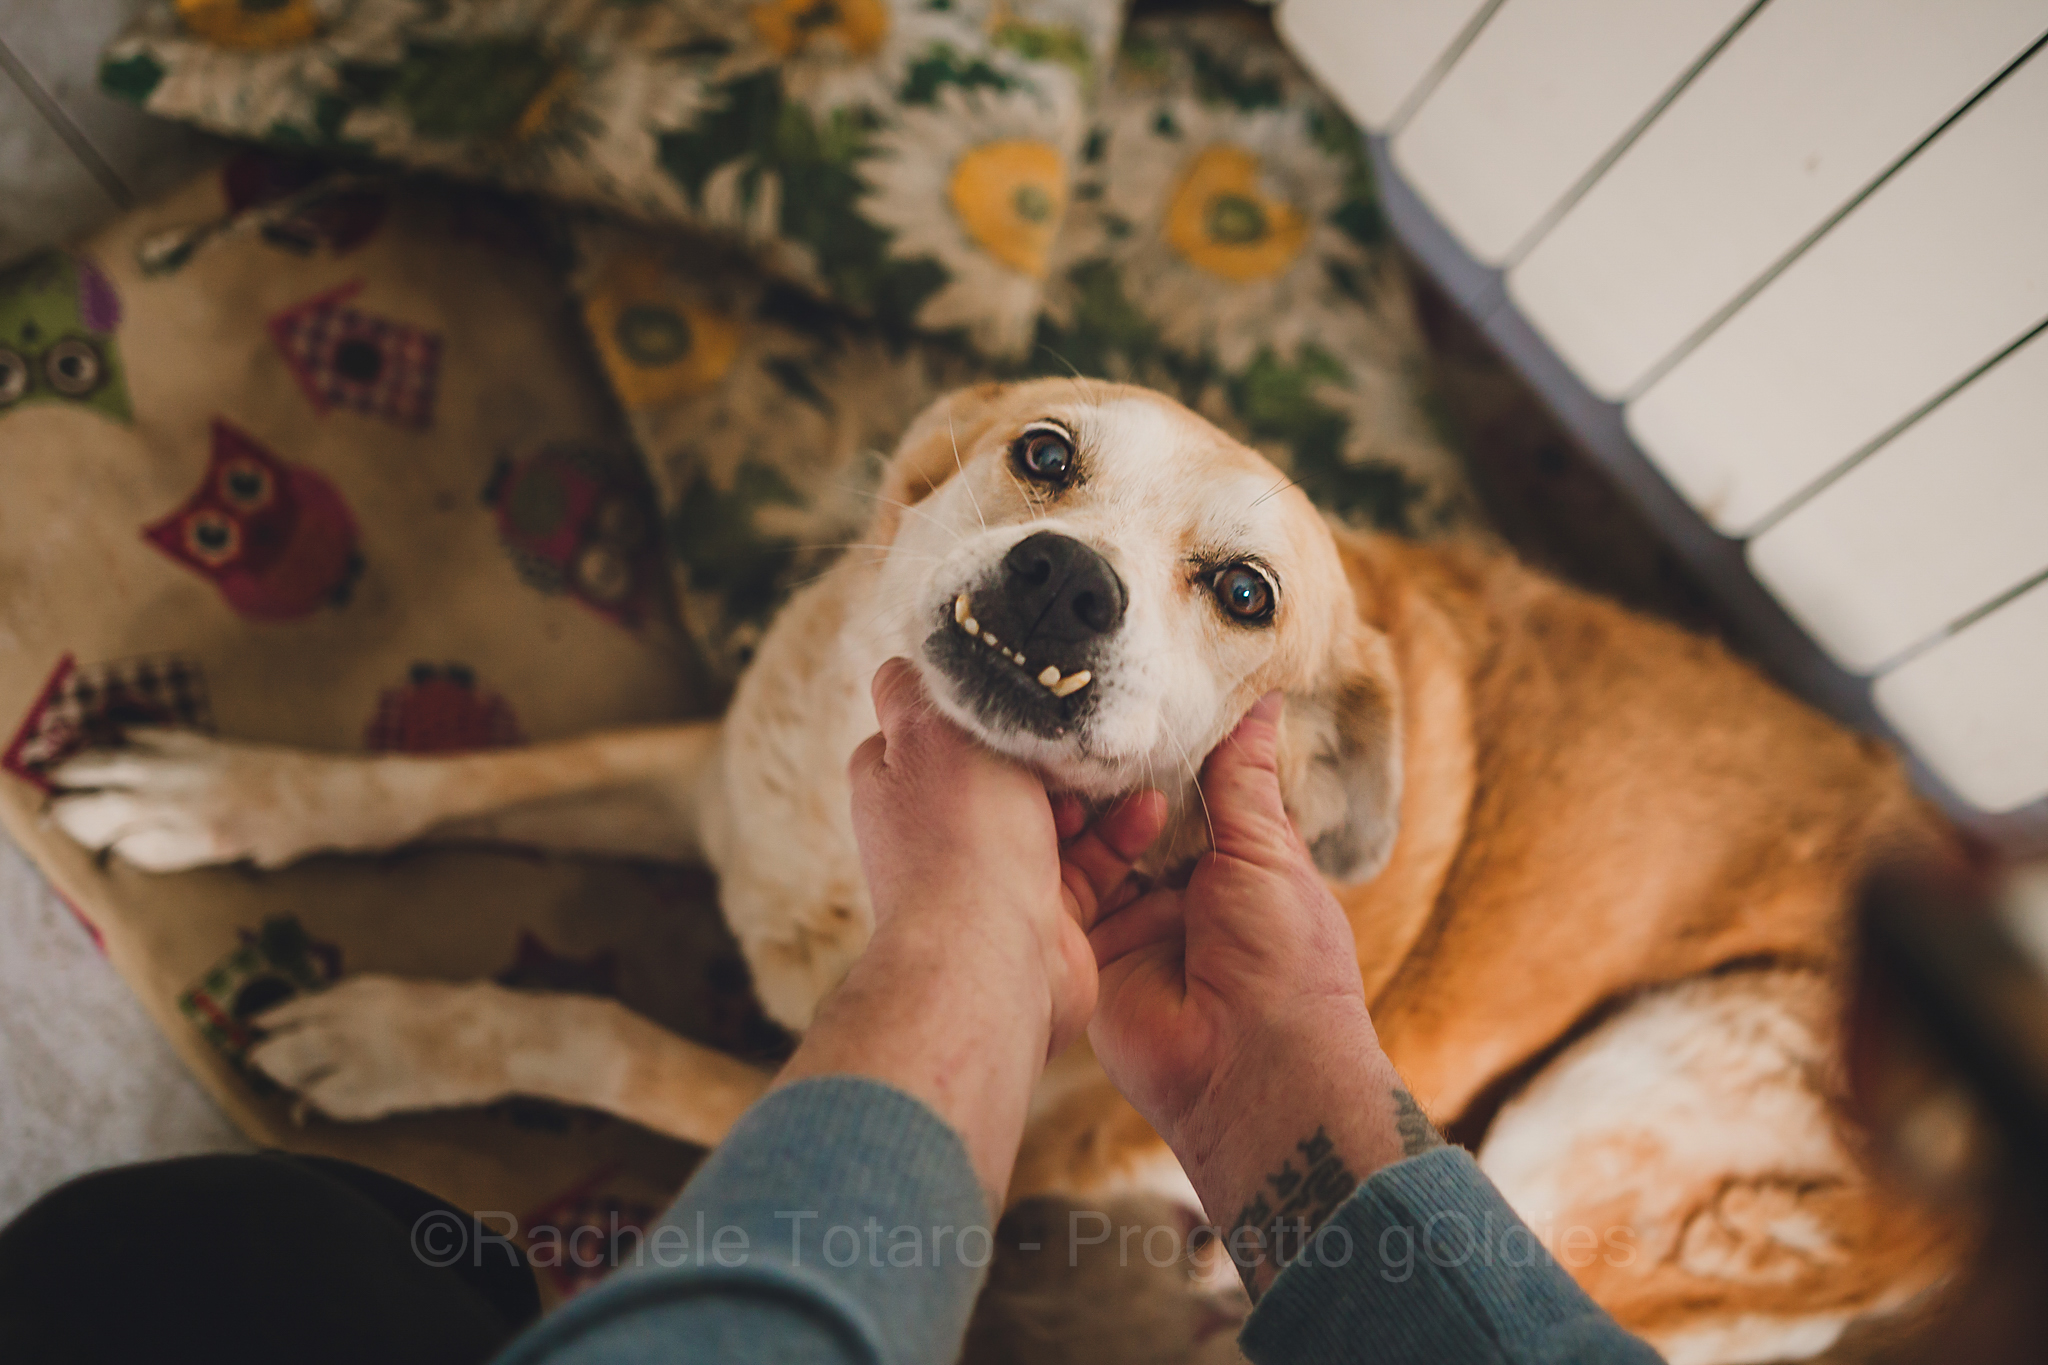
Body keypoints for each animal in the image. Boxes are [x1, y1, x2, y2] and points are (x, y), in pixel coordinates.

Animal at [49, 379, 1957, 1362]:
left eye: (1244, 594)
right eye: (1045, 457)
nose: (1059, 581)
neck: (851, 861)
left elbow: (593, 1030)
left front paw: (380, 1036)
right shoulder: (715, 784)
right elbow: (466, 777)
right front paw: (214, 797)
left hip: (1614, 1101)